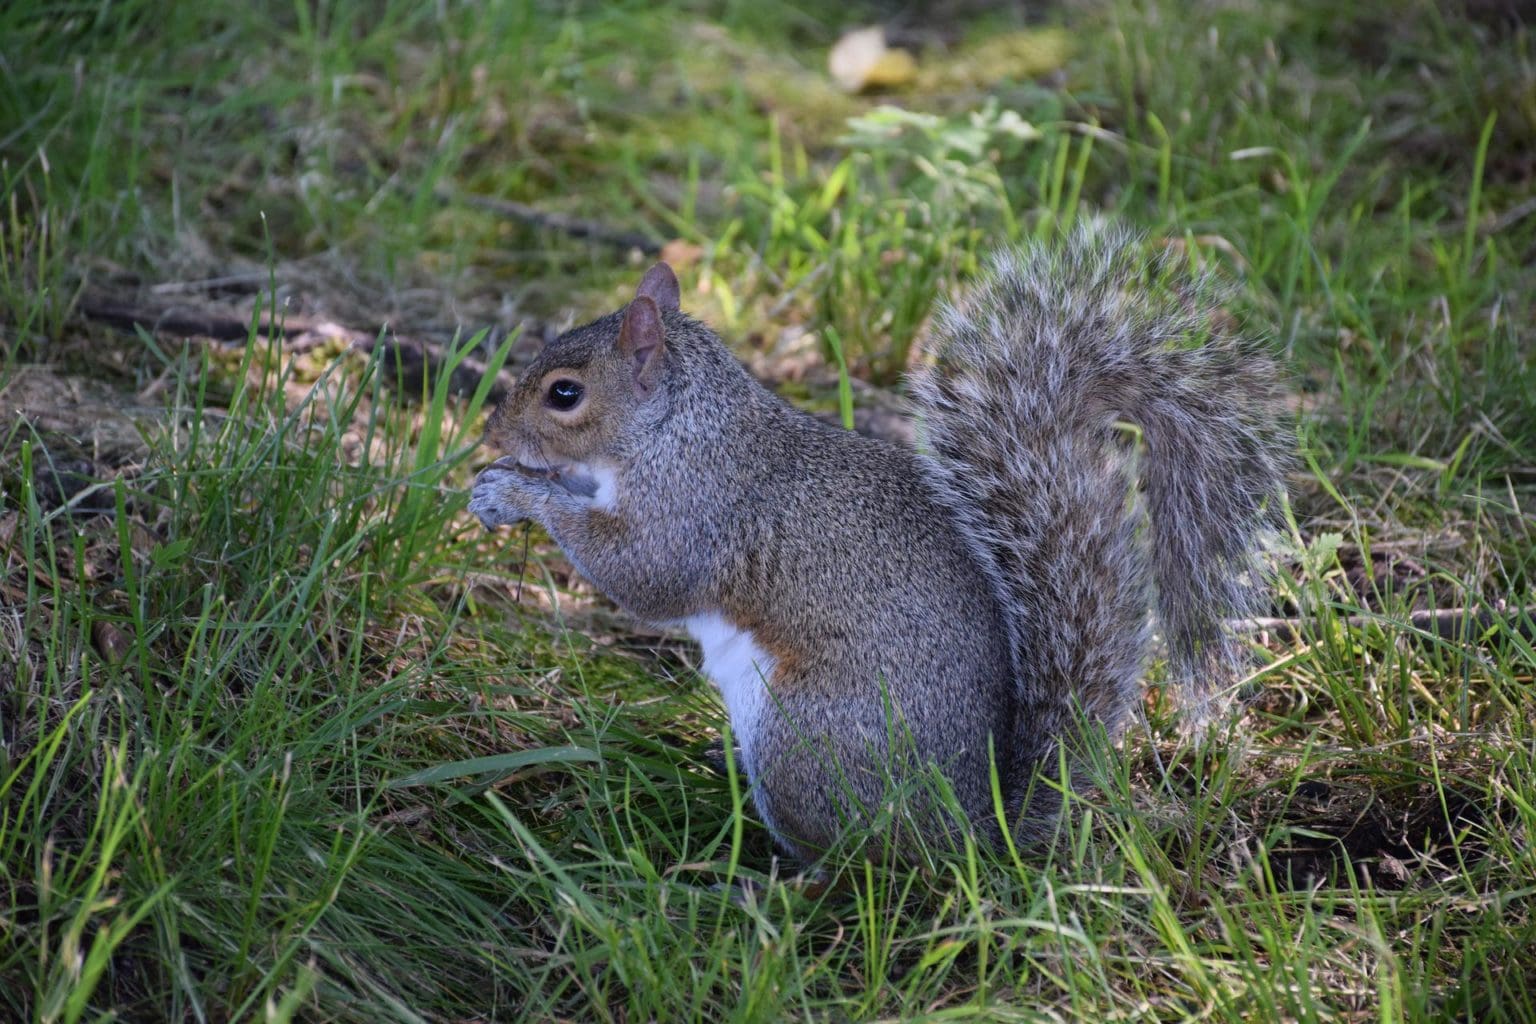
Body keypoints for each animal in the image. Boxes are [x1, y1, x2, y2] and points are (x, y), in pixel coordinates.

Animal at [468, 226, 1288, 863]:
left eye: (565, 394)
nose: (491, 431)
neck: (676, 427)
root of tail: (969, 828)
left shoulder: (693, 511)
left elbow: (641, 575)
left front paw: (515, 493)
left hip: (802, 743)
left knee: (856, 865)